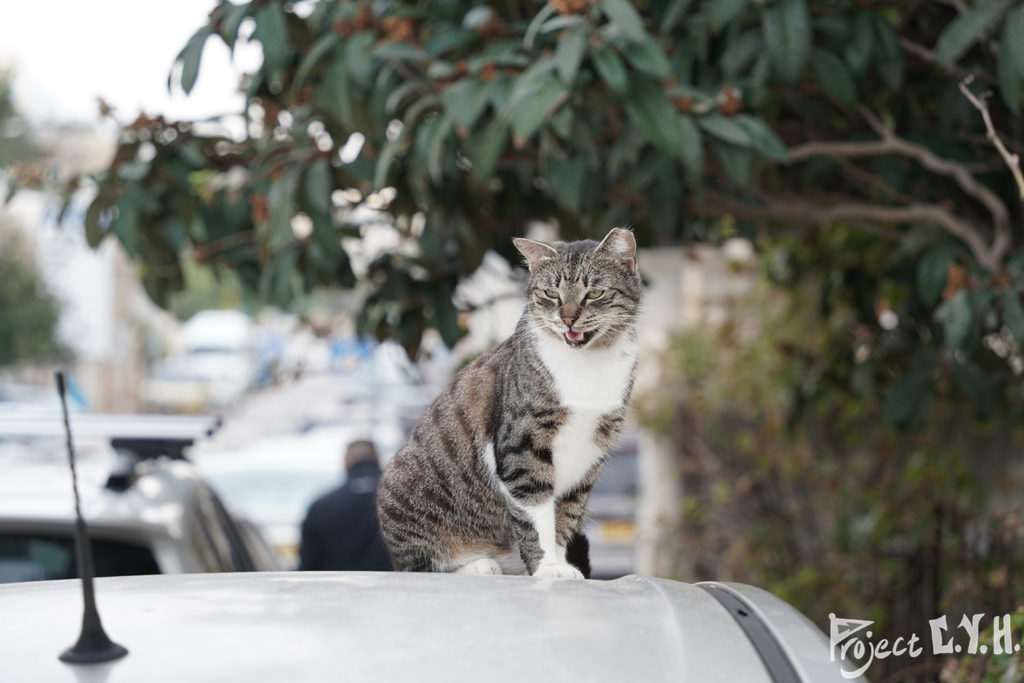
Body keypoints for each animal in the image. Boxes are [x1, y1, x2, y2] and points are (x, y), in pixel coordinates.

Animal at [376, 228, 638, 577]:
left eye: (594, 293)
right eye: (551, 294)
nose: (568, 319)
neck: (588, 365)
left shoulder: (590, 457)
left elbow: (565, 517)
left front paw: (561, 565)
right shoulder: (522, 448)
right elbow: (536, 517)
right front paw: (547, 568)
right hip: (403, 490)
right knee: (419, 567)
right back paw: (477, 566)